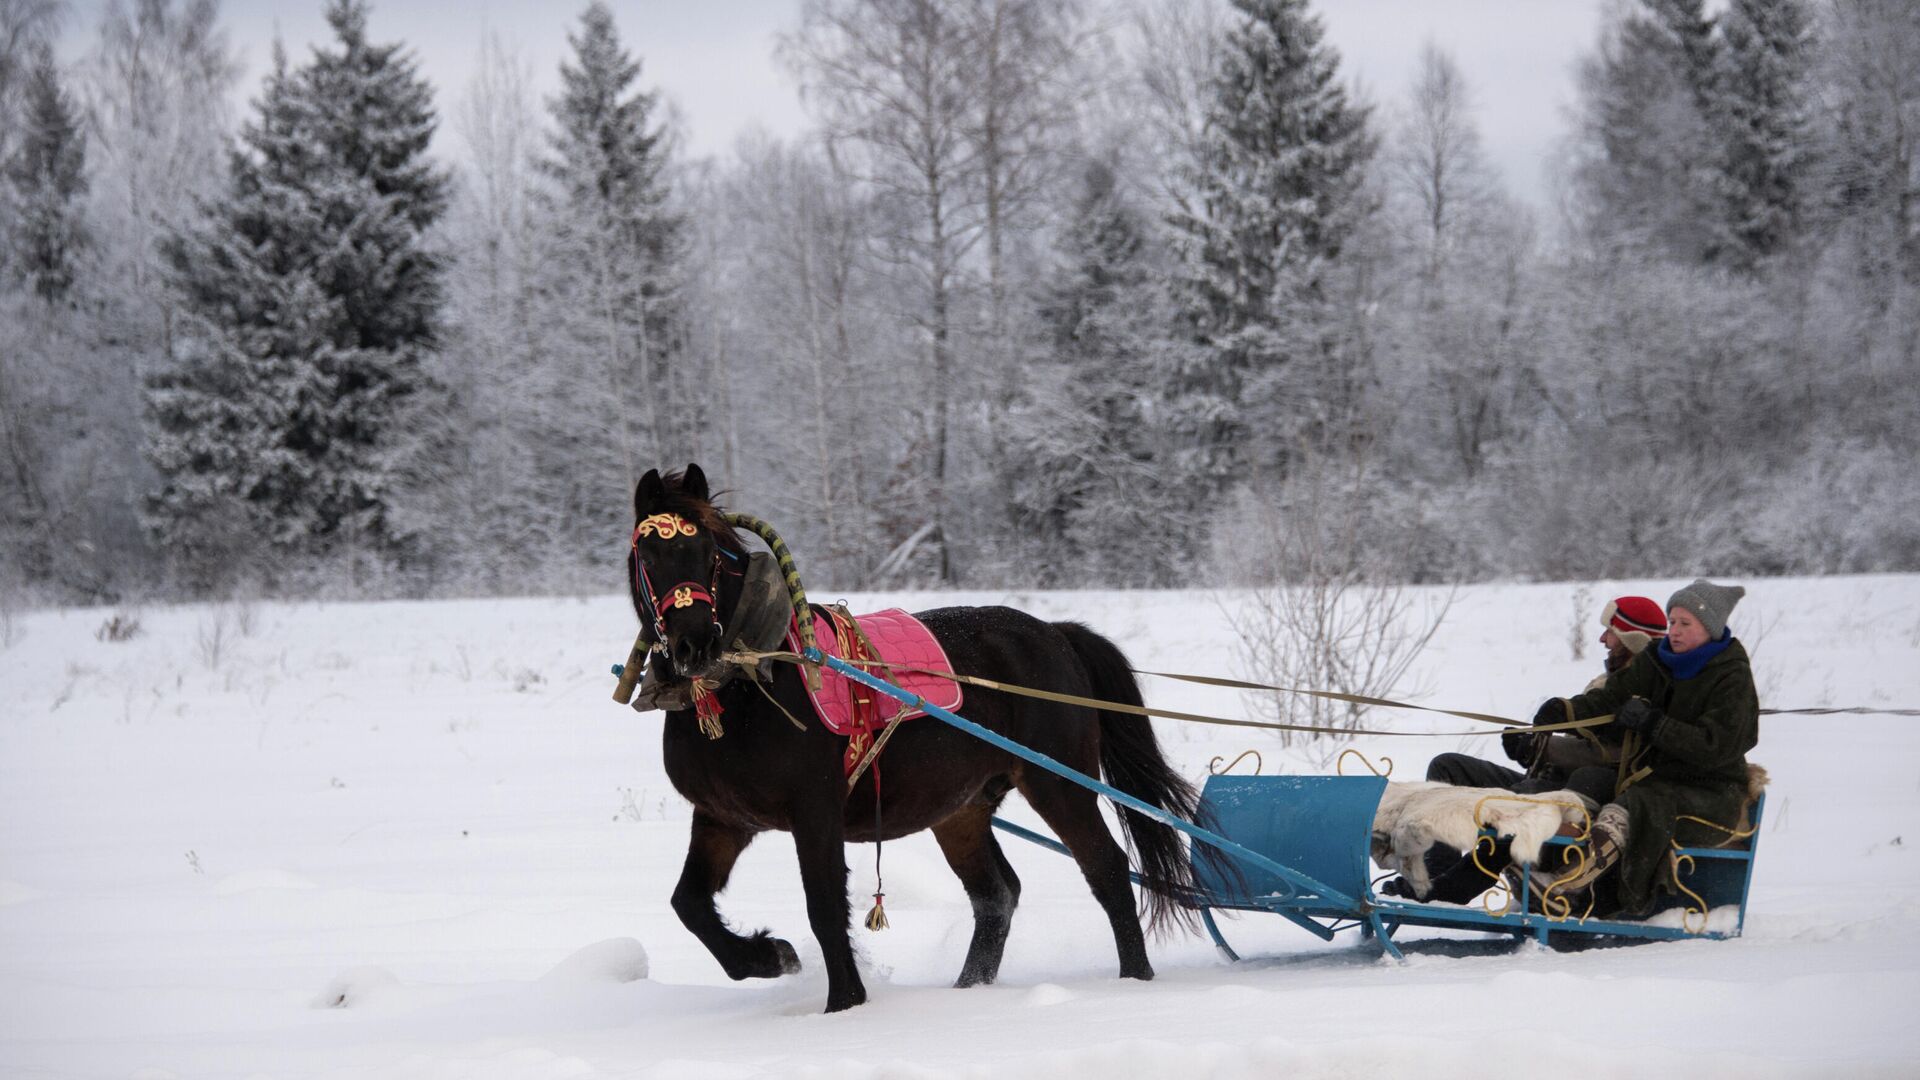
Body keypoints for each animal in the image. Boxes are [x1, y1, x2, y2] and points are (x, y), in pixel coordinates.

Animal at [625, 463, 1198, 1006]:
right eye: (648, 556)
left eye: (709, 552)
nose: (695, 643)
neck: (749, 682)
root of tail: (1055, 633)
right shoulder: (722, 818)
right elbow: (689, 903)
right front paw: (768, 956)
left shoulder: (814, 811)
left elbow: (825, 907)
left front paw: (844, 1003)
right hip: (961, 810)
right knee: (997, 894)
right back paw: (969, 990)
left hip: (1059, 784)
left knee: (1107, 870)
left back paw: (1134, 982)